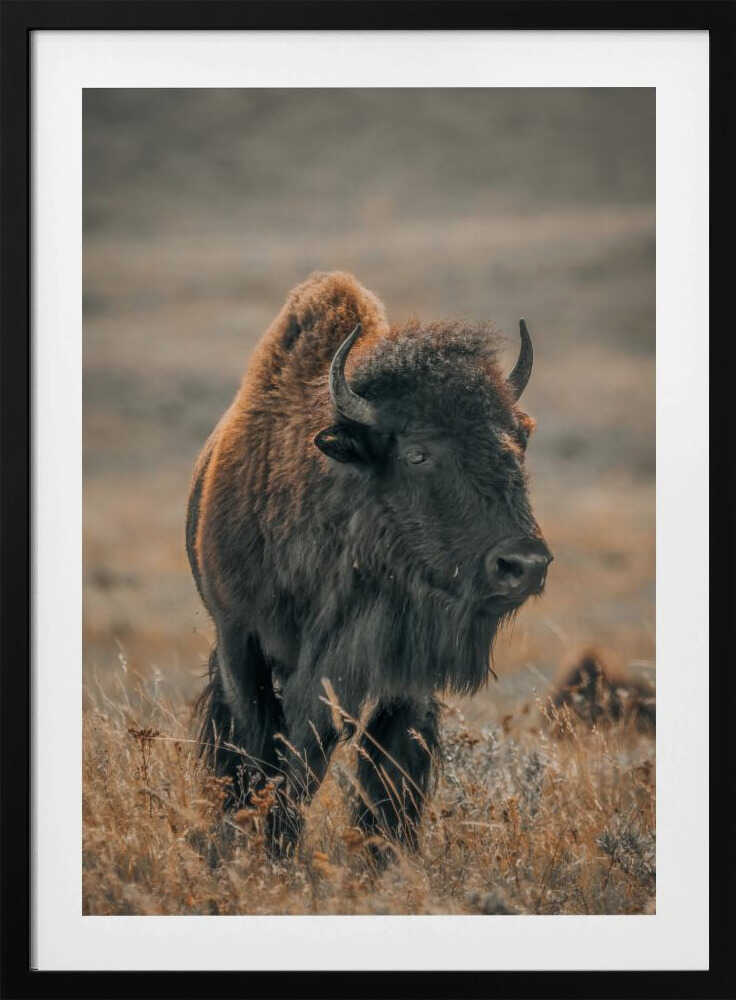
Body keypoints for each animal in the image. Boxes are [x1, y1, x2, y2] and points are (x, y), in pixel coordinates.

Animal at [186, 271, 551, 857]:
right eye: (418, 453)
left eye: (517, 442)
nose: (524, 564)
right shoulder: (240, 641)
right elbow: (266, 752)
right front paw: (265, 845)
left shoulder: (401, 674)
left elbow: (388, 771)